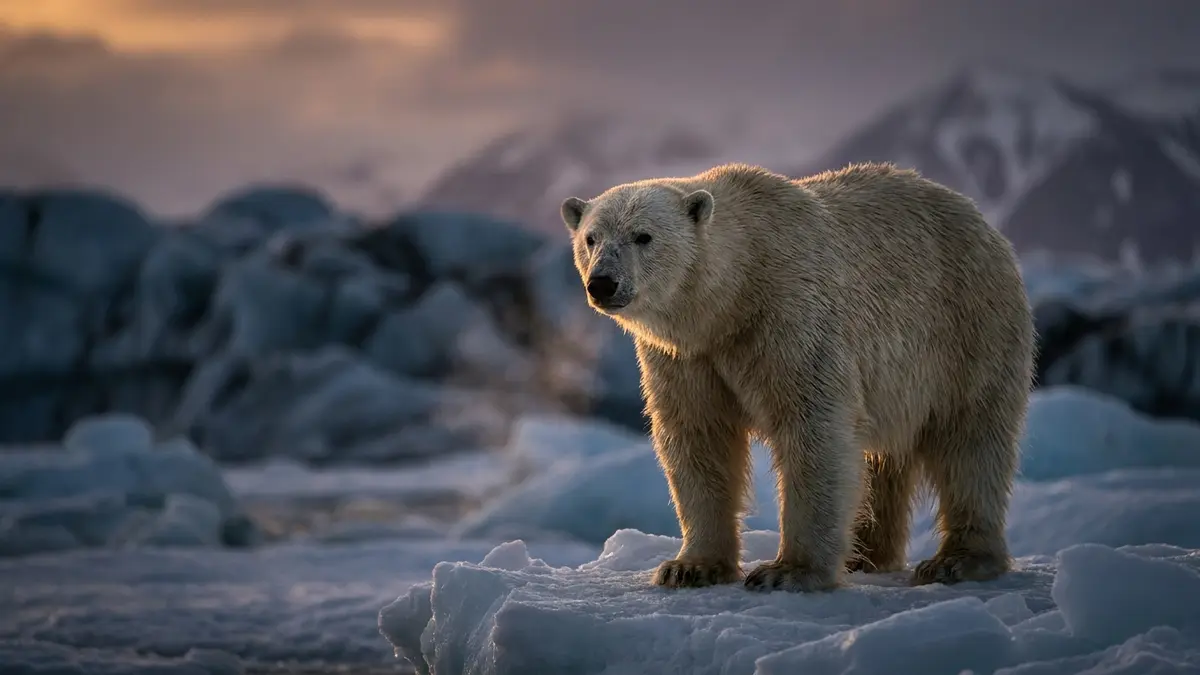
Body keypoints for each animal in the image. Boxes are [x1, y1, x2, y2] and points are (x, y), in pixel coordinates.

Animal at [559, 162, 1034, 592]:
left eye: (644, 236)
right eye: (591, 238)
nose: (602, 283)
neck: (735, 295)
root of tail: (982, 222)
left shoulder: (789, 316)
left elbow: (813, 427)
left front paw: (788, 571)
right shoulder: (686, 356)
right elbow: (698, 436)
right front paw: (689, 567)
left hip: (968, 328)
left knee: (970, 440)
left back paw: (958, 559)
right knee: (884, 460)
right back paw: (866, 554)